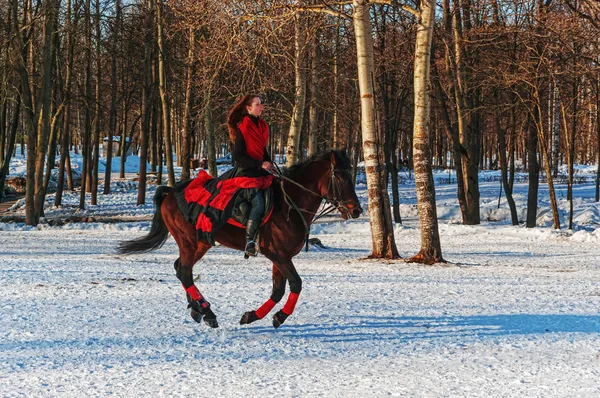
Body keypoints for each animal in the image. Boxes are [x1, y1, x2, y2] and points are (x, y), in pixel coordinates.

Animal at [118, 151, 360, 328]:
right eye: (341, 178)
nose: (356, 210)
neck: (290, 204)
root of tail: (170, 192)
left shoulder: (281, 257)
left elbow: (278, 290)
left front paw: (253, 315)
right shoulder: (277, 254)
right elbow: (296, 284)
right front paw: (279, 316)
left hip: (199, 243)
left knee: (181, 269)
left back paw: (198, 309)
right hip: (190, 241)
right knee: (185, 272)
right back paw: (208, 312)